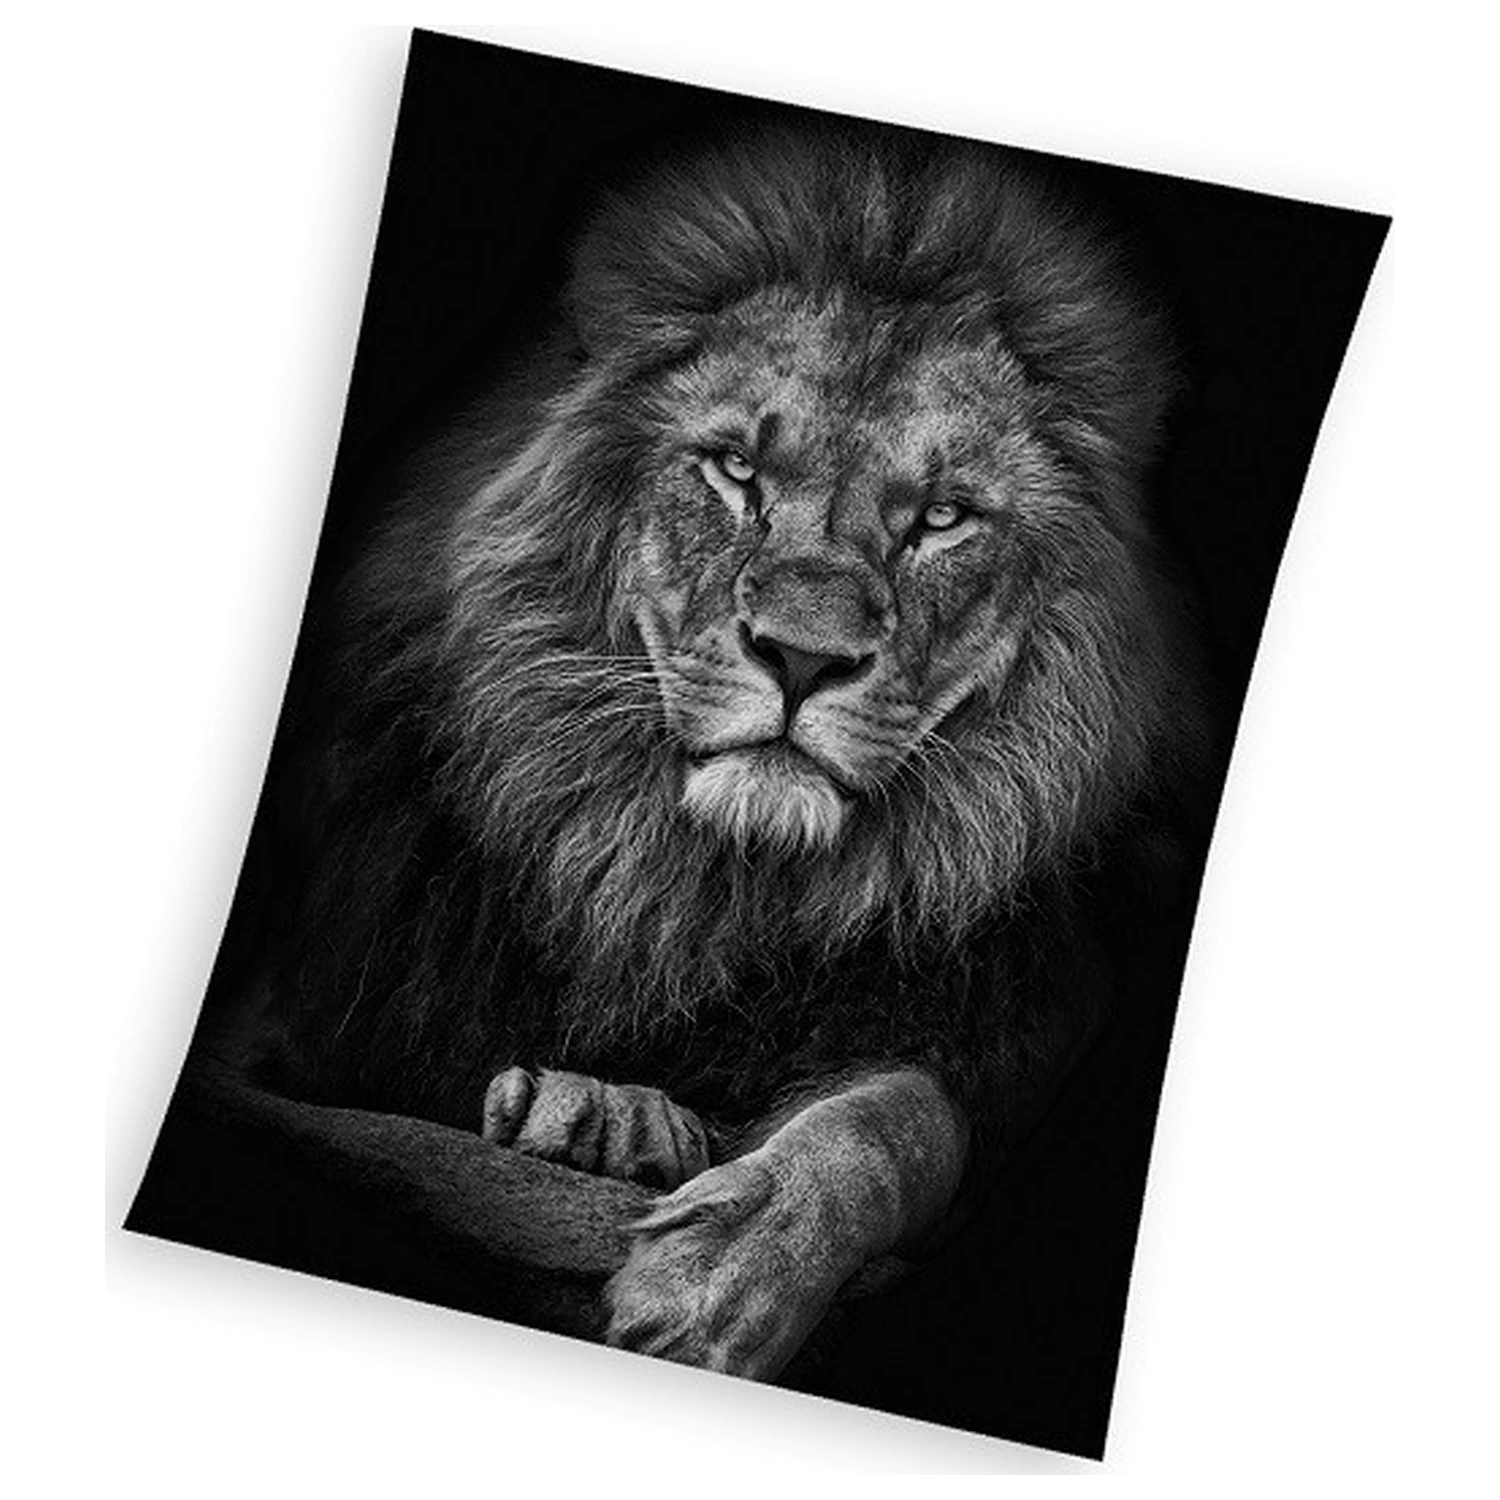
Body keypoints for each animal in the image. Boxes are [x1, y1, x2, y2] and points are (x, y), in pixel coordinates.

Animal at [136, 120, 1210, 1384]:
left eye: (942, 518)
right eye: (737, 471)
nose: (802, 657)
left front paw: (724, 1269)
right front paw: (601, 1121)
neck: (694, 892)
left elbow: (903, 1118)